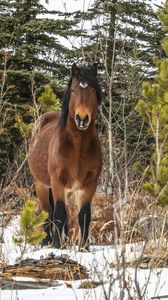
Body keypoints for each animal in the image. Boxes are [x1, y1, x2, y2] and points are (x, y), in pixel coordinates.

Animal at [28, 62, 102, 248]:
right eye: (74, 90)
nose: (82, 119)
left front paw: (84, 247)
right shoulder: (57, 181)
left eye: (92, 90)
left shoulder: (90, 184)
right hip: (42, 185)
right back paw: (47, 241)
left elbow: (84, 215)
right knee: (48, 212)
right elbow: (59, 214)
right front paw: (56, 245)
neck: (78, 147)